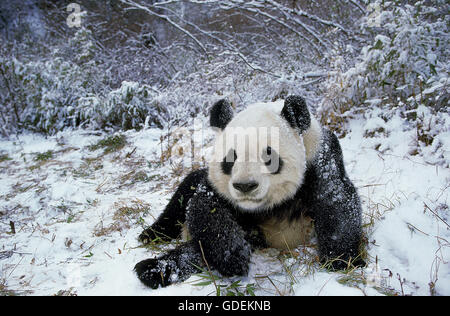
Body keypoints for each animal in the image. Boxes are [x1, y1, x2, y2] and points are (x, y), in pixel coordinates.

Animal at [134, 95, 366, 288]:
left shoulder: (320, 159)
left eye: (269, 156)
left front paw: (341, 261)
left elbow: (336, 201)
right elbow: (205, 208)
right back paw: (152, 255)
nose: (245, 186)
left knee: (196, 250)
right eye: (230, 158)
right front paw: (233, 256)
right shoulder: (215, 186)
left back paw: (157, 270)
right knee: (180, 203)